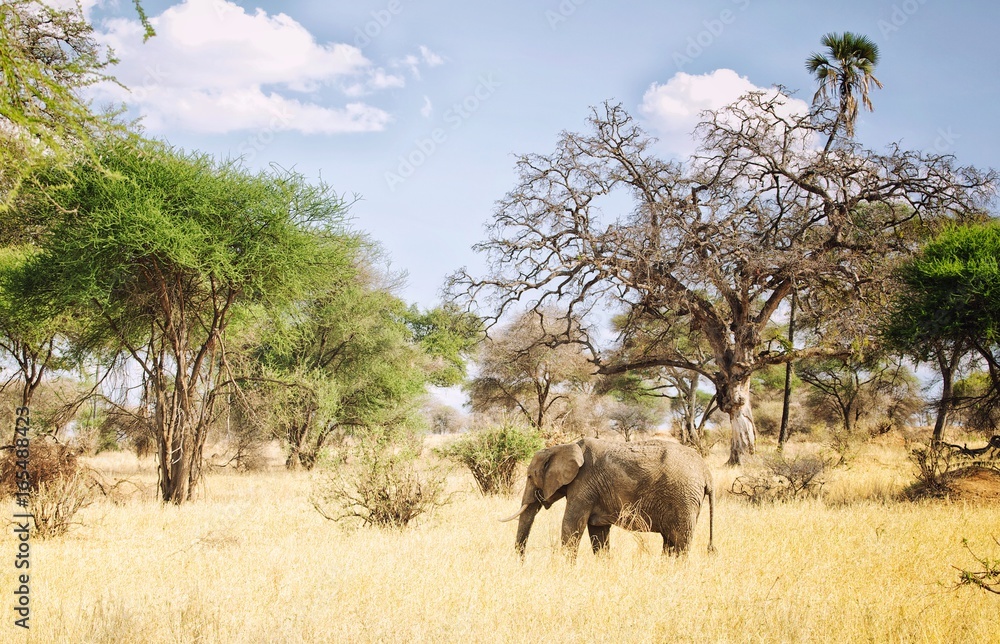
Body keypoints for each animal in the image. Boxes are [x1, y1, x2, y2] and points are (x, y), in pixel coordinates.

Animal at [501, 437, 715, 559]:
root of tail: (706, 472)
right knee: (670, 541)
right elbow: (598, 532)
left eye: (529, 476)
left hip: (683, 498)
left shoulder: (584, 484)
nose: (522, 563)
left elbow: (572, 525)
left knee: (680, 541)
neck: (563, 447)